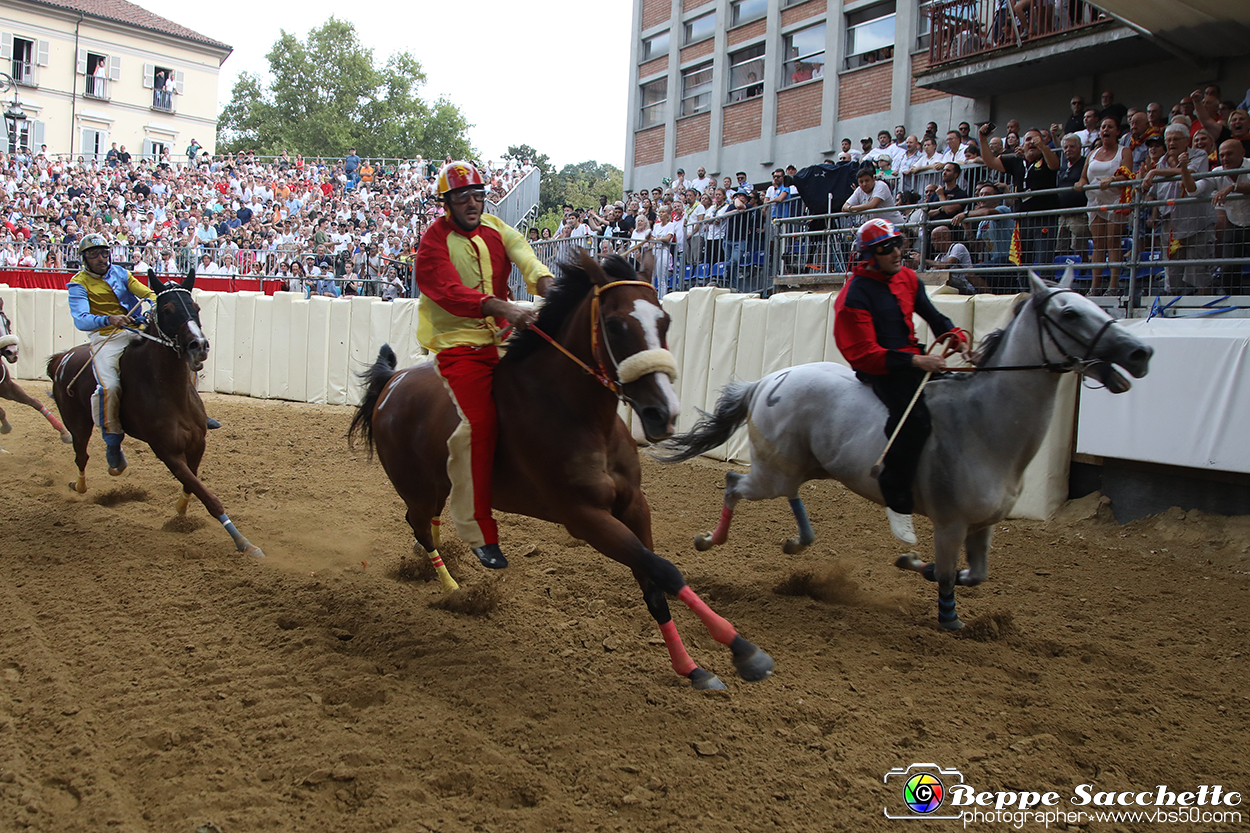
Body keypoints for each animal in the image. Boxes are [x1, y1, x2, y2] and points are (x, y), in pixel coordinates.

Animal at [0, 296, 72, 445]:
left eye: (7, 321)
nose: (12, 352)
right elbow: (1, 411)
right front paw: (5, 426)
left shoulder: (7, 387)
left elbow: (34, 402)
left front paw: (64, 432)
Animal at [46, 268, 263, 555]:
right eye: (168, 309)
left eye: (196, 307)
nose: (199, 345)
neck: (168, 391)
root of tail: (62, 359)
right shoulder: (167, 452)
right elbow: (207, 496)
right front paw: (244, 543)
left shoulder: (198, 443)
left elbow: (192, 484)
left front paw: (180, 509)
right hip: (77, 424)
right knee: (82, 456)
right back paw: (80, 483)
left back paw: (116, 462)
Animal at [352, 252, 770, 685]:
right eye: (615, 325)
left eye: (665, 321)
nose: (663, 413)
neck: (575, 413)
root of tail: (392, 382)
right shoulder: (585, 518)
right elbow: (665, 570)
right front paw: (743, 649)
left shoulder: (634, 506)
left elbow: (653, 581)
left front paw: (691, 667)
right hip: (418, 488)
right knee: (418, 523)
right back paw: (453, 586)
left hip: (439, 486)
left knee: (426, 527)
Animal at [660, 272, 1155, 630]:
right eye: (1069, 313)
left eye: (1093, 305)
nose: (1140, 352)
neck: (985, 422)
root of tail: (767, 381)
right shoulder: (950, 523)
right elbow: (947, 575)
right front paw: (949, 619)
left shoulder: (983, 525)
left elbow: (974, 574)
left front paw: (912, 561)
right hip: (772, 472)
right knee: (733, 483)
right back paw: (710, 540)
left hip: (798, 466)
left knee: (787, 492)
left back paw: (798, 542)